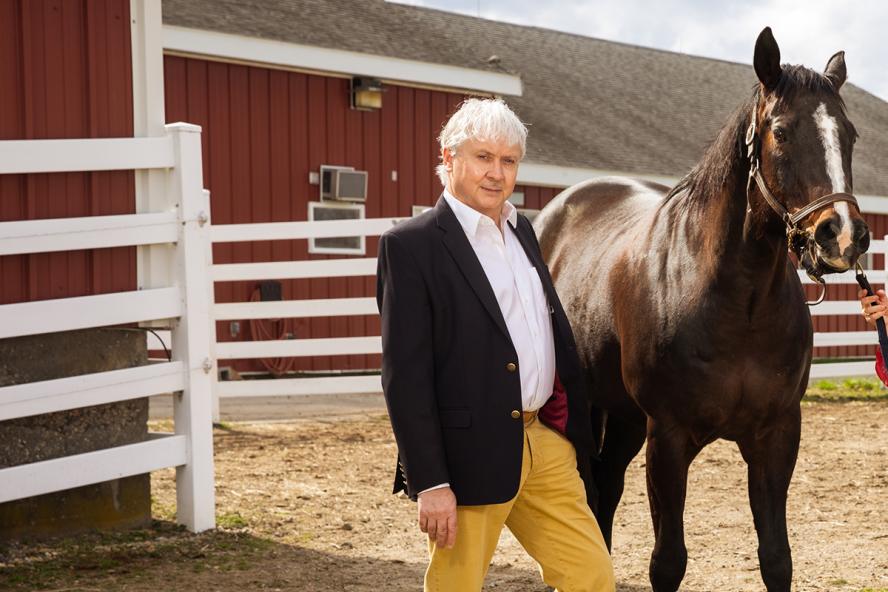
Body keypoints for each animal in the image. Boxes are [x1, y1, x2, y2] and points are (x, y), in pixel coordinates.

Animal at [536, 27, 868, 592]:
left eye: (848, 134)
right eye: (781, 131)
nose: (842, 235)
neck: (736, 306)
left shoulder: (777, 435)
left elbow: (777, 559)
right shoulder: (668, 439)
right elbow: (668, 562)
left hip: (623, 416)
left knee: (605, 488)